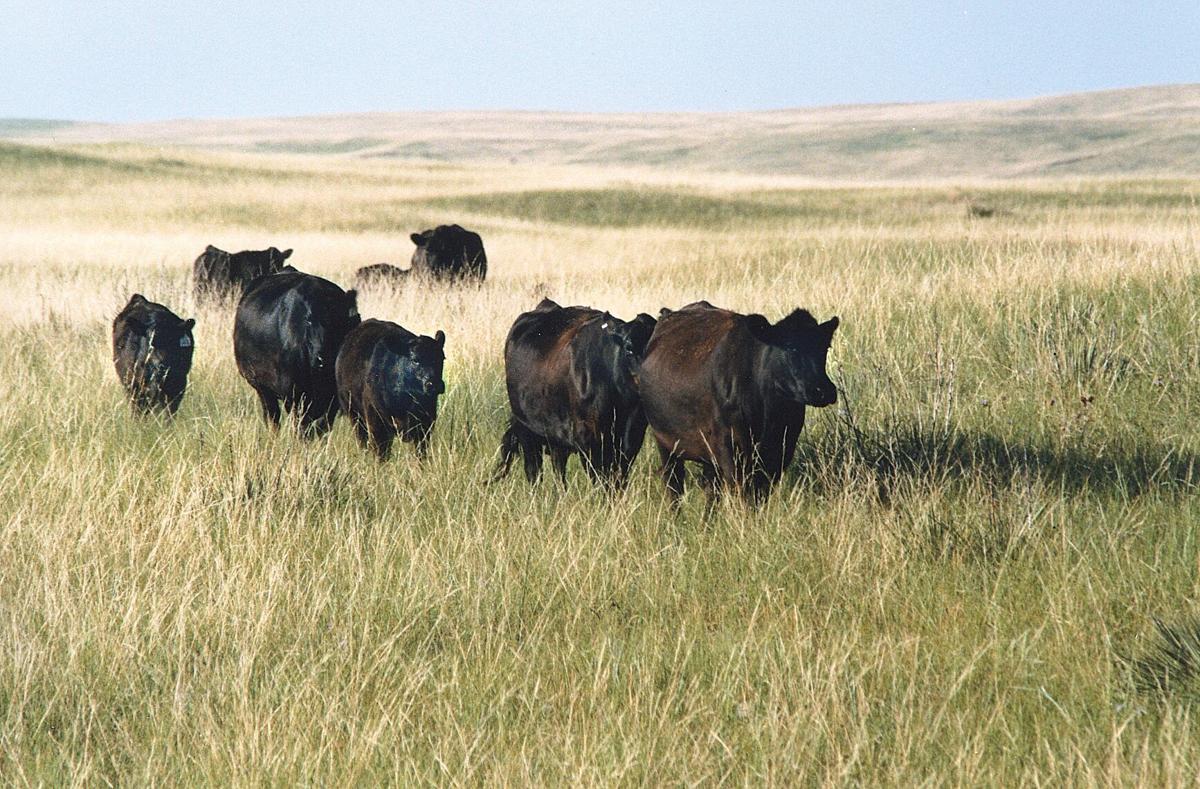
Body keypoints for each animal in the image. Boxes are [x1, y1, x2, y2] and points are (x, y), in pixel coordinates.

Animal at [233, 268, 360, 436]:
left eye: (340, 320)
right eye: (309, 320)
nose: (323, 358)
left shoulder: (333, 399)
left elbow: (323, 426)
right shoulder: (294, 395)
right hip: (262, 388)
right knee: (273, 418)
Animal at [335, 319, 446, 460]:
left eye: (441, 358)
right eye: (415, 360)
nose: (434, 384)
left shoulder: (426, 423)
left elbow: (420, 453)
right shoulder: (375, 420)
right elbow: (380, 452)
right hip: (353, 413)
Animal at [494, 298, 657, 488]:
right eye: (629, 347)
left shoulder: (631, 440)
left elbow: (618, 480)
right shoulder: (588, 439)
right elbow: (599, 479)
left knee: (558, 467)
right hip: (525, 427)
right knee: (534, 470)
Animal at [637, 301, 839, 504]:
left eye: (825, 347)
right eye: (790, 347)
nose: (822, 390)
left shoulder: (782, 449)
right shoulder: (729, 447)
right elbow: (743, 492)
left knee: (711, 490)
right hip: (665, 442)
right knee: (674, 485)